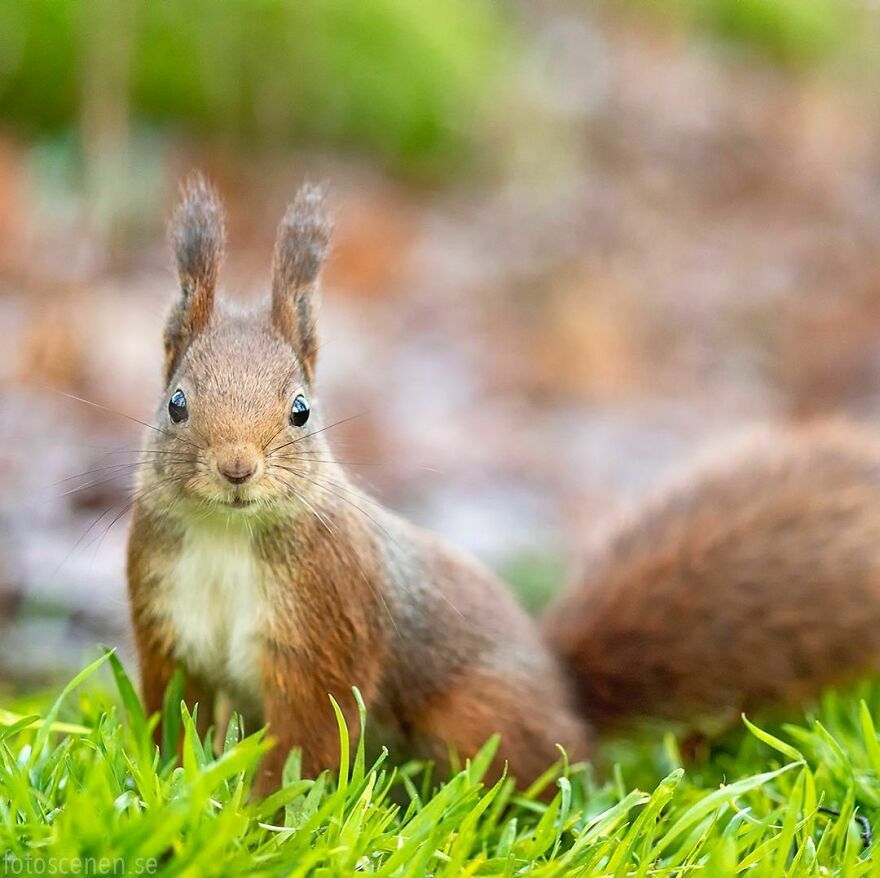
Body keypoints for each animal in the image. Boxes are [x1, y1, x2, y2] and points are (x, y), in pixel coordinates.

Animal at [128, 176, 880, 793]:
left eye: (301, 410)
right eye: (176, 403)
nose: (237, 468)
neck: (228, 534)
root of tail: (566, 698)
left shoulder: (327, 628)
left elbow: (307, 748)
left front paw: (263, 814)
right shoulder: (167, 624)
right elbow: (176, 715)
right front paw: (169, 781)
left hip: (476, 718)